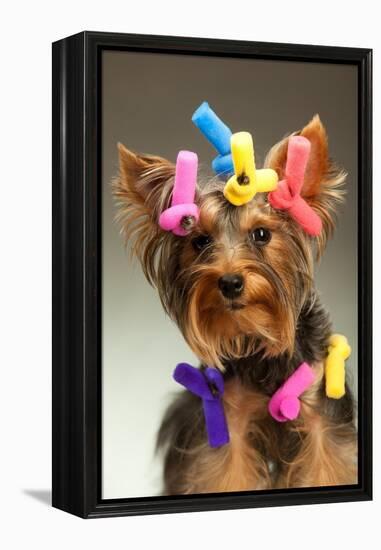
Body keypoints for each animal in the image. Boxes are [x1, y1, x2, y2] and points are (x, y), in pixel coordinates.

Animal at [113, 114, 356, 494]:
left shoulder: (321, 417)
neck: (259, 336)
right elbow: (228, 470)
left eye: (261, 234)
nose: (229, 282)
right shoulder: (230, 418)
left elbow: (326, 462)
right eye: (200, 241)